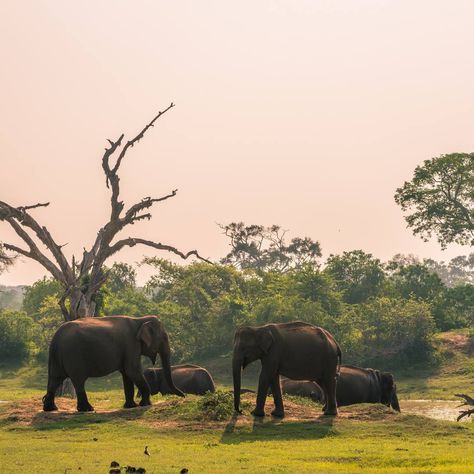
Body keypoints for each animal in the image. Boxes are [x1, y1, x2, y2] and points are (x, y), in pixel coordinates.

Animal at [42, 314, 184, 412]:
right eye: (163, 338)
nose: (184, 396)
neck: (139, 319)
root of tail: (56, 337)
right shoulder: (131, 344)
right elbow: (132, 371)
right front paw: (146, 404)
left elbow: (126, 374)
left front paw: (130, 406)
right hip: (73, 355)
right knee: (78, 380)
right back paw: (87, 409)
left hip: (57, 357)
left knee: (55, 378)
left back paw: (51, 409)